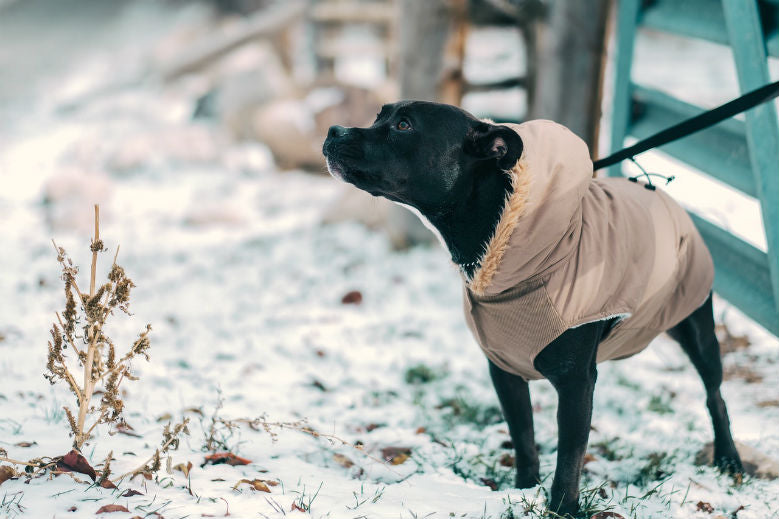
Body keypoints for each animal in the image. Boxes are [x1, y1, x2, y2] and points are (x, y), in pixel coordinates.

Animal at [322, 100, 744, 516]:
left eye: (404, 126)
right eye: (380, 116)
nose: (334, 131)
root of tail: (663, 194)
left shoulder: (575, 382)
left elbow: (570, 456)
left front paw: (563, 508)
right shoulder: (504, 370)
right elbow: (523, 435)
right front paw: (524, 488)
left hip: (697, 327)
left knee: (715, 396)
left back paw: (729, 459)